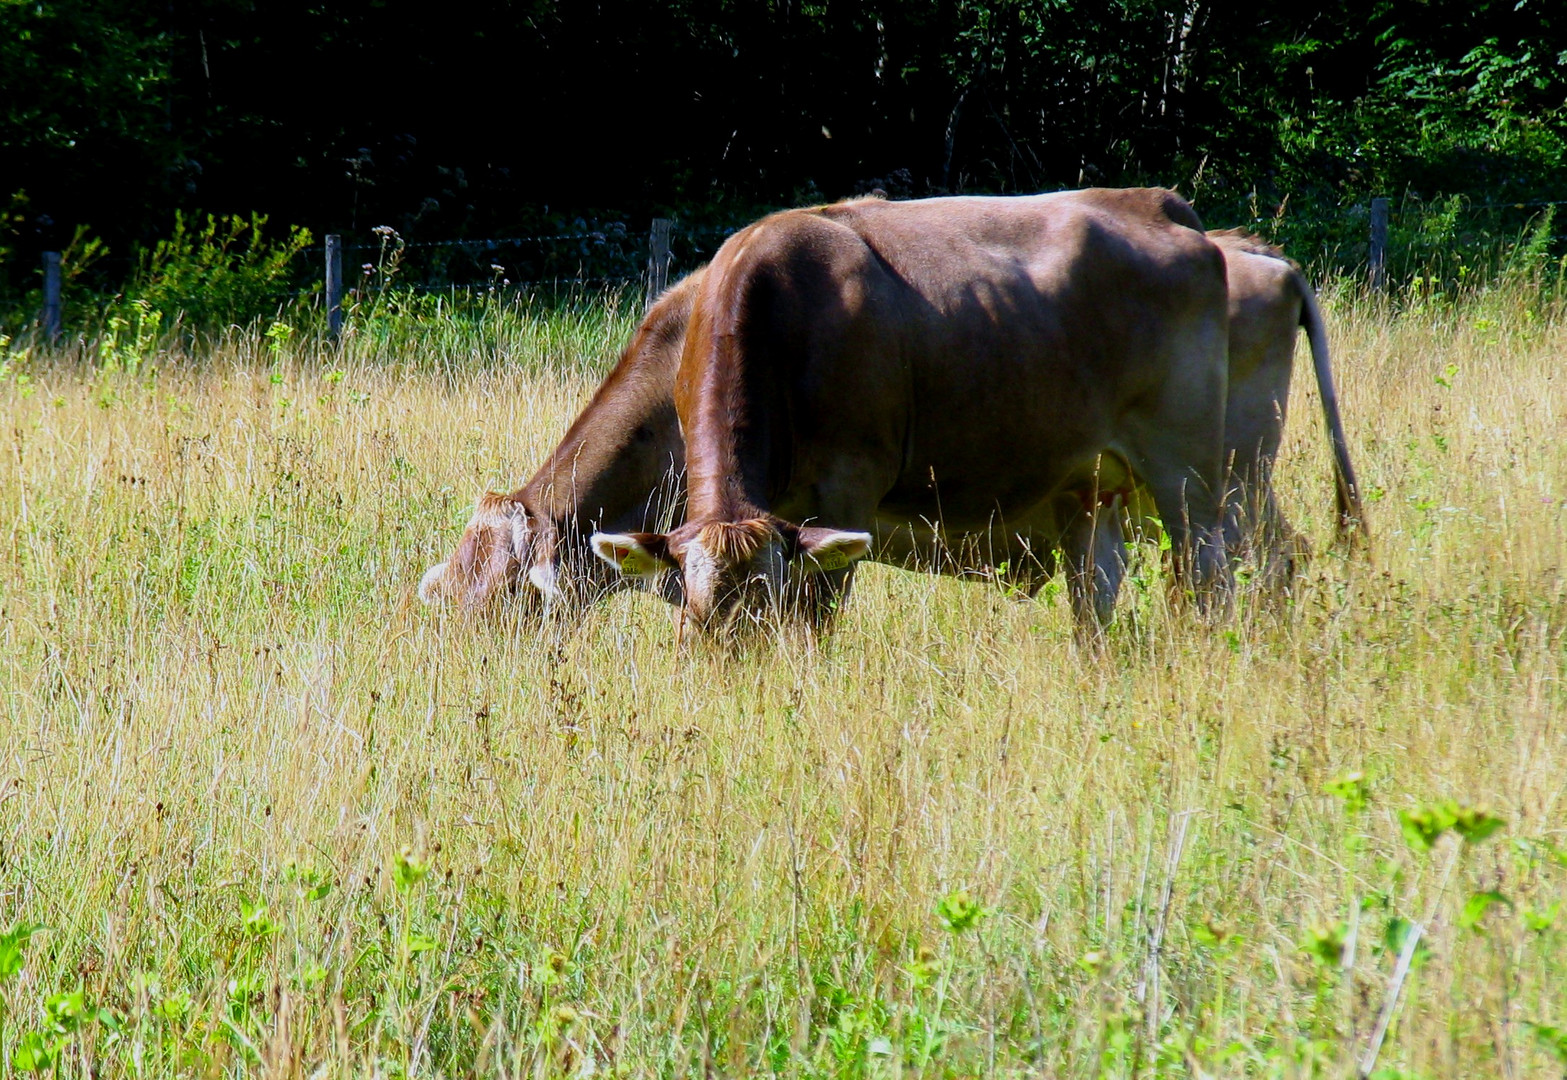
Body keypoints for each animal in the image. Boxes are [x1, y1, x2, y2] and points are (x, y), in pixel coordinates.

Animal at [595, 189, 1234, 636]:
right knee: (1098, 586)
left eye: (763, 617)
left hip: (1190, 468)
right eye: (694, 623)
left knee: (1209, 570)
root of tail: (1157, 202)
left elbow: (817, 617)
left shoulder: (848, 486)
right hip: (1092, 481)